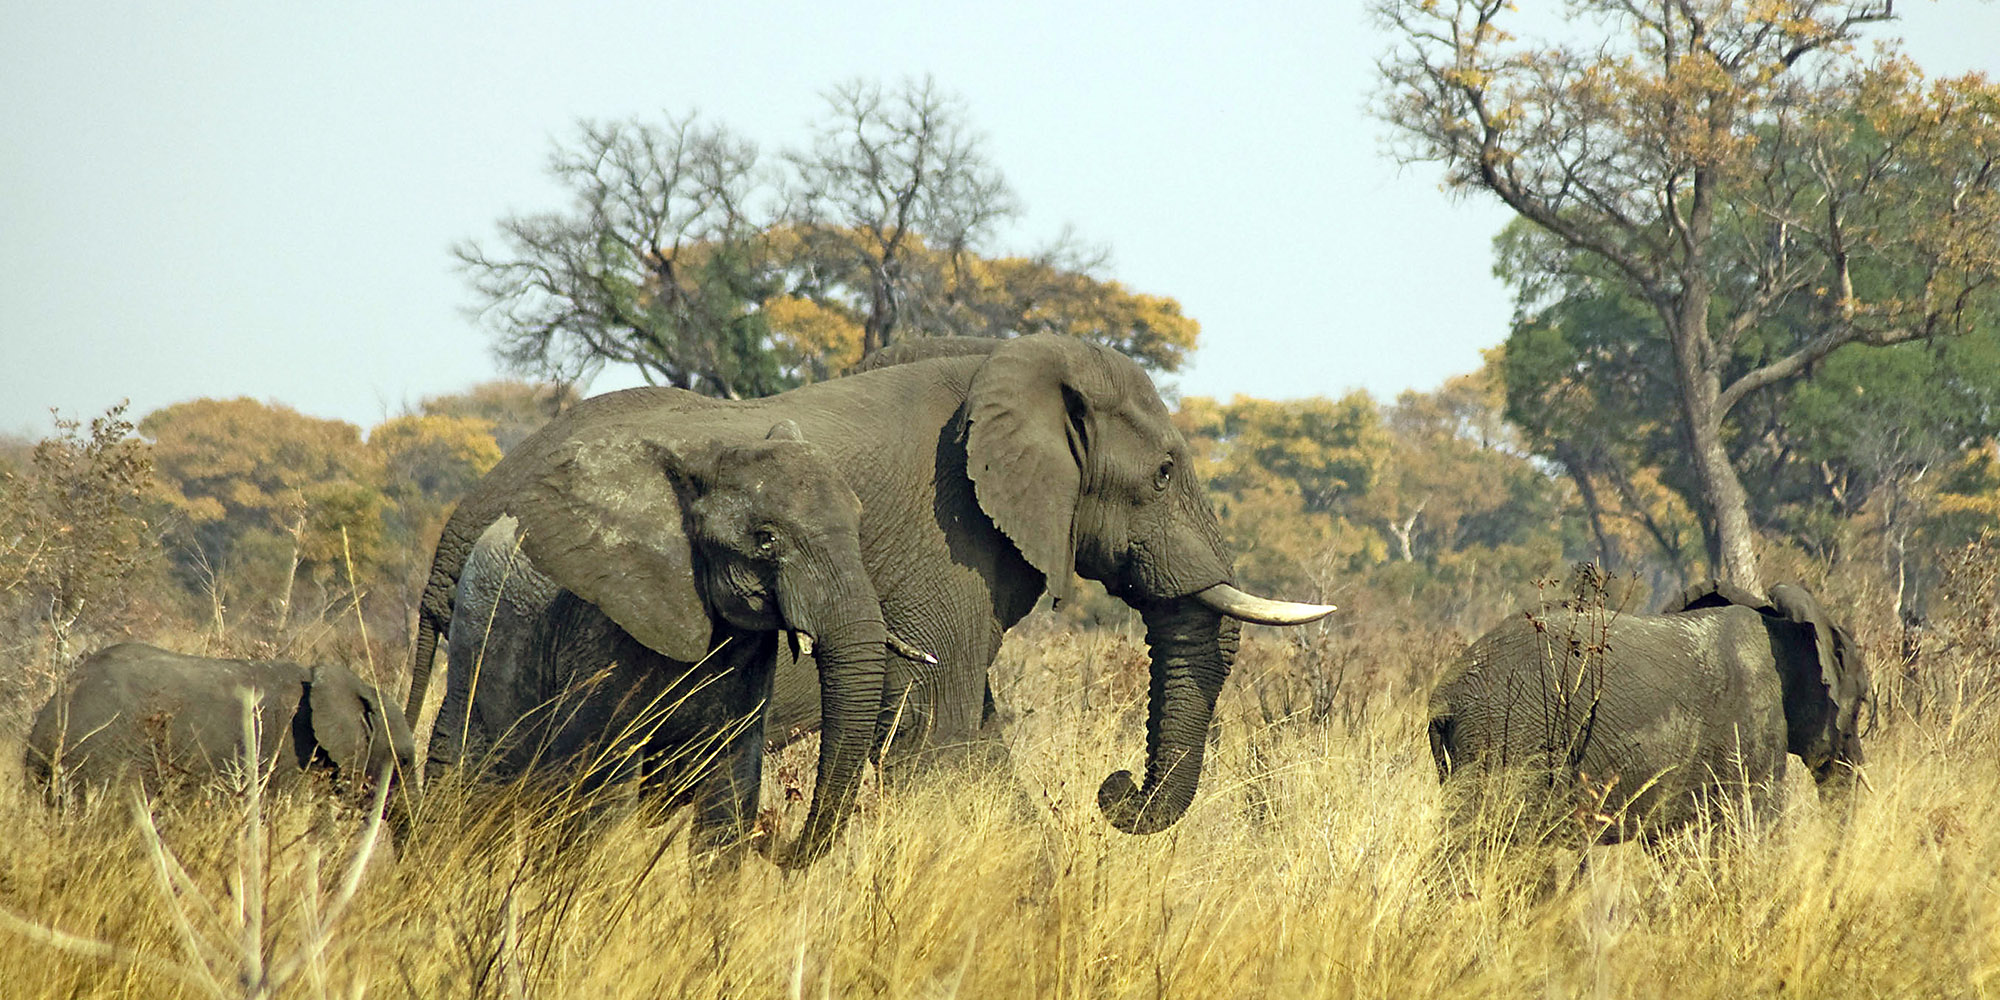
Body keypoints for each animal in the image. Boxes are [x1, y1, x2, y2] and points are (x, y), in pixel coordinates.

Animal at [423, 422, 893, 865]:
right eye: (766, 539)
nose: (773, 835)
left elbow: (728, 797)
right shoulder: (604, 632)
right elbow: (601, 797)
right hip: (477, 643)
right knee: (487, 790)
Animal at [1426, 580, 1872, 842]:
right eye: (1862, 703)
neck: (1775, 617)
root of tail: (1444, 698)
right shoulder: (1753, 721)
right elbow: (1754, 820)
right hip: (1510, 738)